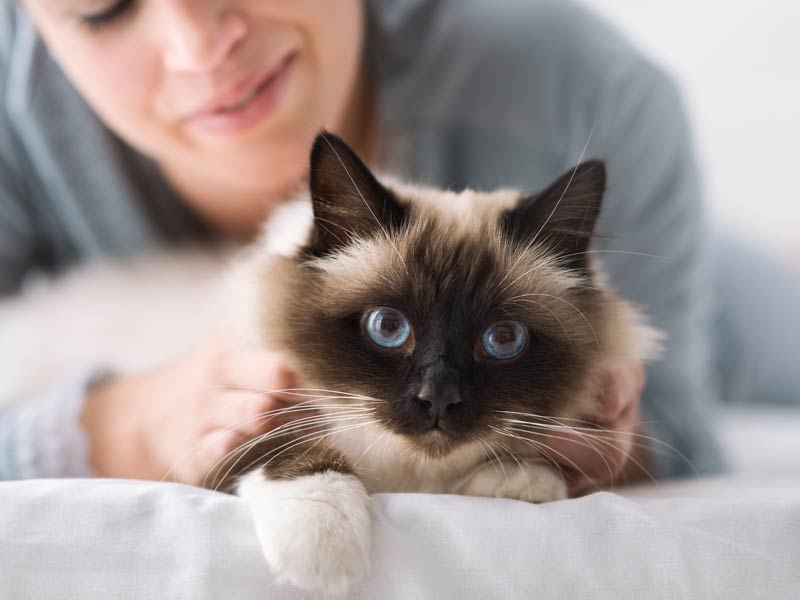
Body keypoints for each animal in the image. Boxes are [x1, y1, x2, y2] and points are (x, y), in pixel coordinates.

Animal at [208, 132, 664, 596]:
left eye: (503, 339)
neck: (411, 479)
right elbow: (292, 446)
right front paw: (323, 553)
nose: (439, 397)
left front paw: (521, 482)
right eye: (388, 327)